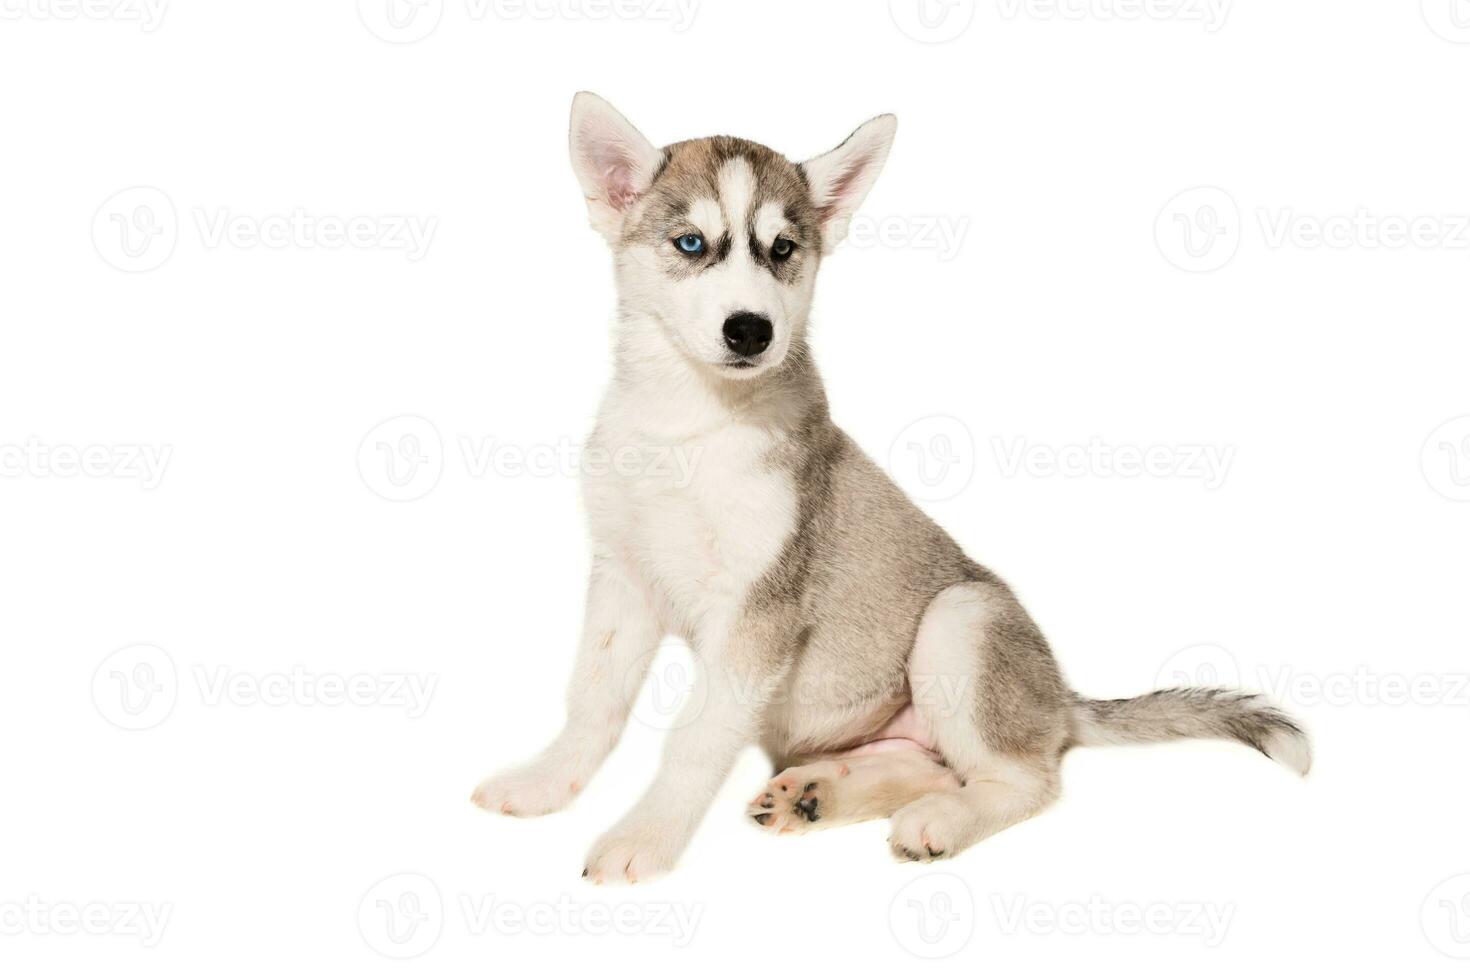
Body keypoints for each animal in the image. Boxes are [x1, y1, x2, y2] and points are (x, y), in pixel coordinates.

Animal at [473, 91, 1311, 887]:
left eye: (782, 250)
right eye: (690, 244)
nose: (751, 330)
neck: (688, 422)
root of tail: (1057, 700)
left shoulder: (757, 607)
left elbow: (695, 737)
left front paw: (645, 838)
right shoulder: (623, 575)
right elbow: (593, 699)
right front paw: (544, 783)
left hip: (959, 619)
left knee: (1025, 779)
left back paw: (939, 821)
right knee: (927, 763)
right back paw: (816, 796)